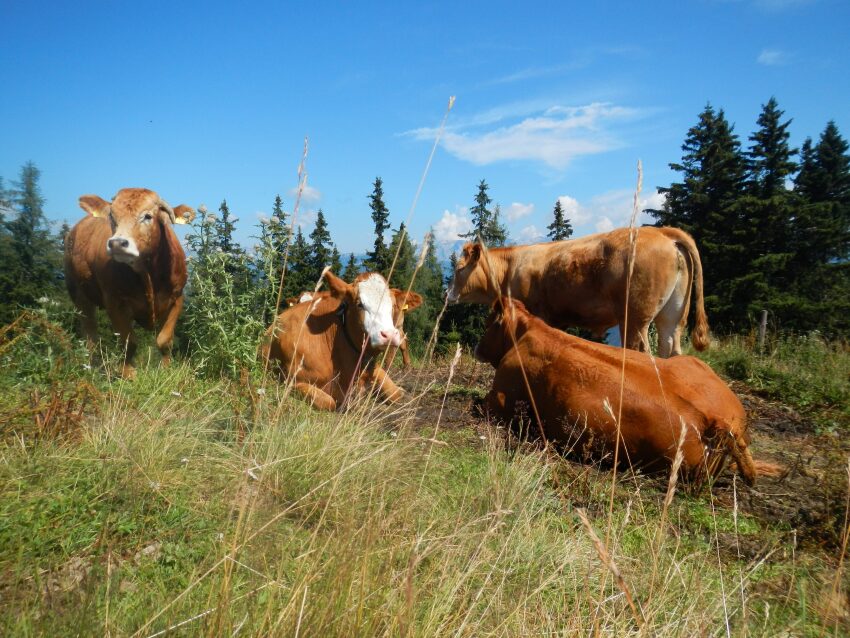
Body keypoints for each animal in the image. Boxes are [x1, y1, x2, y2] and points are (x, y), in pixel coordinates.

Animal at [64, 188, 195, 378]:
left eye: (147, 216)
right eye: (112, 216)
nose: (117, 243)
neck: (149, 275)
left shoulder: (177, 297)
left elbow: (164, 340)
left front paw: (166, 370)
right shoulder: (114, 301)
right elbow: (128, 341)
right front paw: (128, 374)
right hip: (78, 294)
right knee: (90, 335)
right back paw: (94, 367)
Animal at [262, 270, 408, 410]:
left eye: (393, 306)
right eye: (359, 304)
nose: (389, 335)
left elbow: (397, 394)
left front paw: (400, 390)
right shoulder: (291, 382)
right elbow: (329, 402)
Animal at [448, 226, 708, 358]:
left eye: (459, 268)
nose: (447, 294)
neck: (510, 268)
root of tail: (663, 232)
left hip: (635, 317)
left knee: (642, 350)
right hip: (673, 313)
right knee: (670, 346)